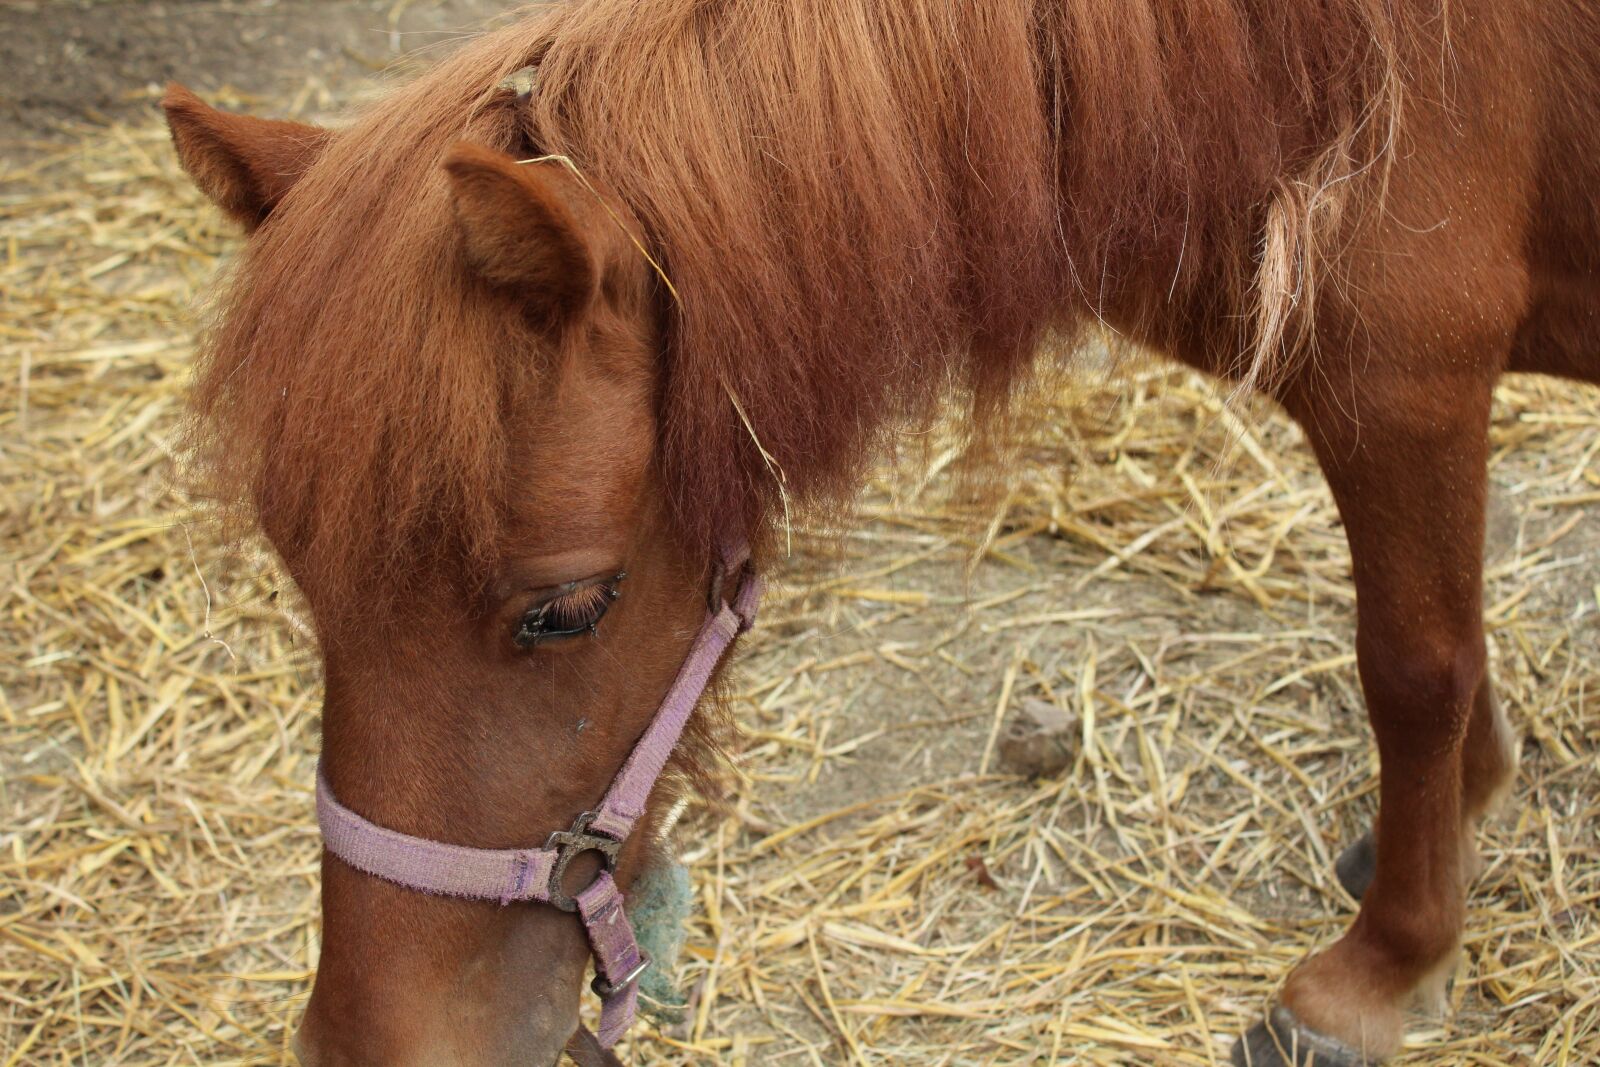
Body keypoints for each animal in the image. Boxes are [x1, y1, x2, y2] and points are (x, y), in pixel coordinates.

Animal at [161, 1, 1600, 1064]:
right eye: (304, 575)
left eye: (565, 608)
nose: (367, 1044)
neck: (1309, 56)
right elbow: (1445, 650)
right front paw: (1469, 801)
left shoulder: (1406, 389)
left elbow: (1412, 668)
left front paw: (1383, 966)